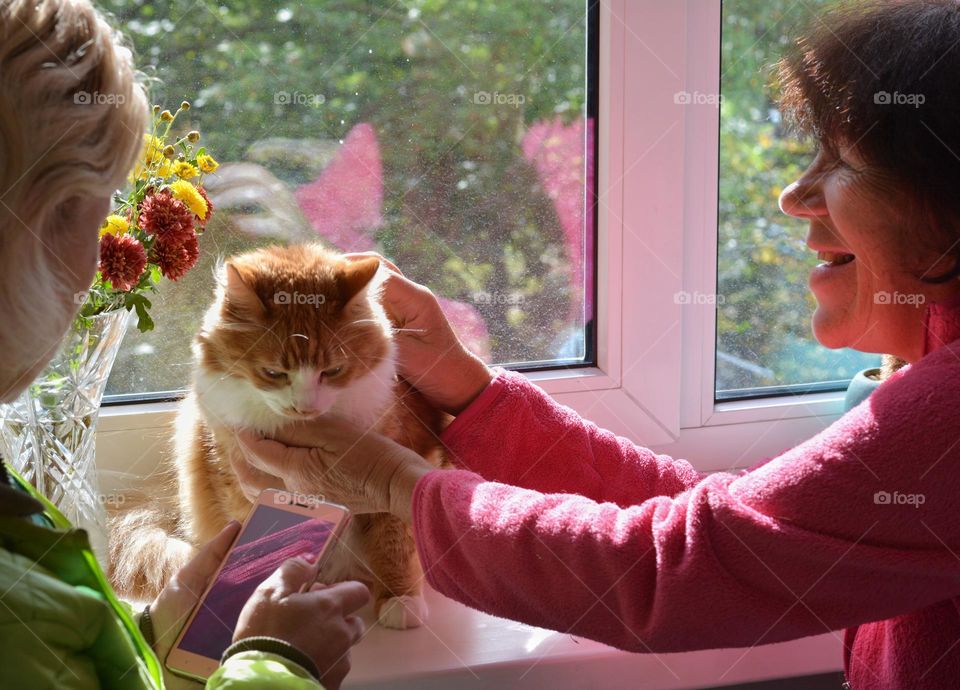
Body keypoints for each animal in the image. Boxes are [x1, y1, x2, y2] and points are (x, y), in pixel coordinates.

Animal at [110, 245, 448, 628]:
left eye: (332, 371)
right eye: (273, 373)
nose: (304, 407)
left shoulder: (404, 448)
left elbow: (394, 540)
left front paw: (400, 599)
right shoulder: (233, 476)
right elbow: (251, 529)